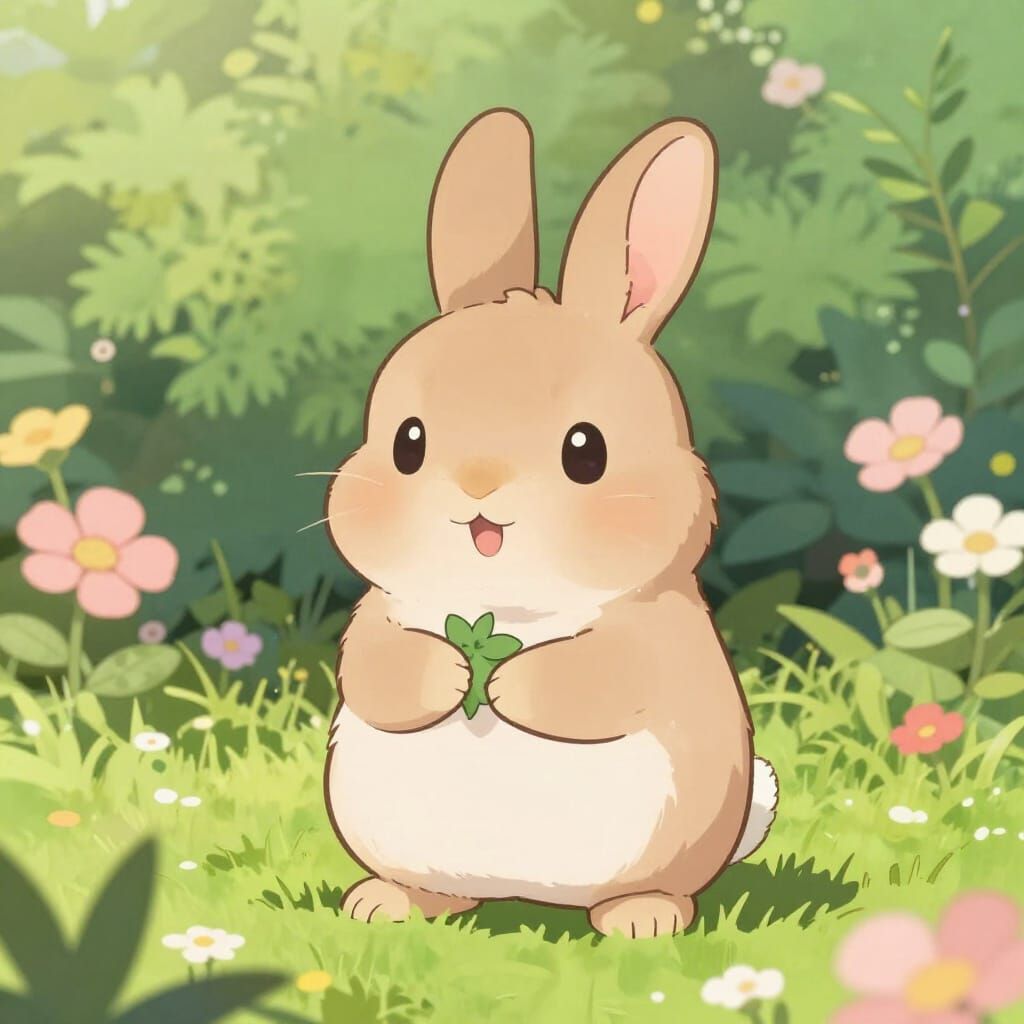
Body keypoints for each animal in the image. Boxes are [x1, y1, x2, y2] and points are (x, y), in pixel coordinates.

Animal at [323, 108, 778, 939]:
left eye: (586, 451)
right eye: (408, 442)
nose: (477, 489)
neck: (501, 605)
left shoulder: (661, 638)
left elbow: (607, 677)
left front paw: (506, 687)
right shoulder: (379, 616)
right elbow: (378, 671)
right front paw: (453, 675)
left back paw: (642, 920)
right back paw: (387, 903)